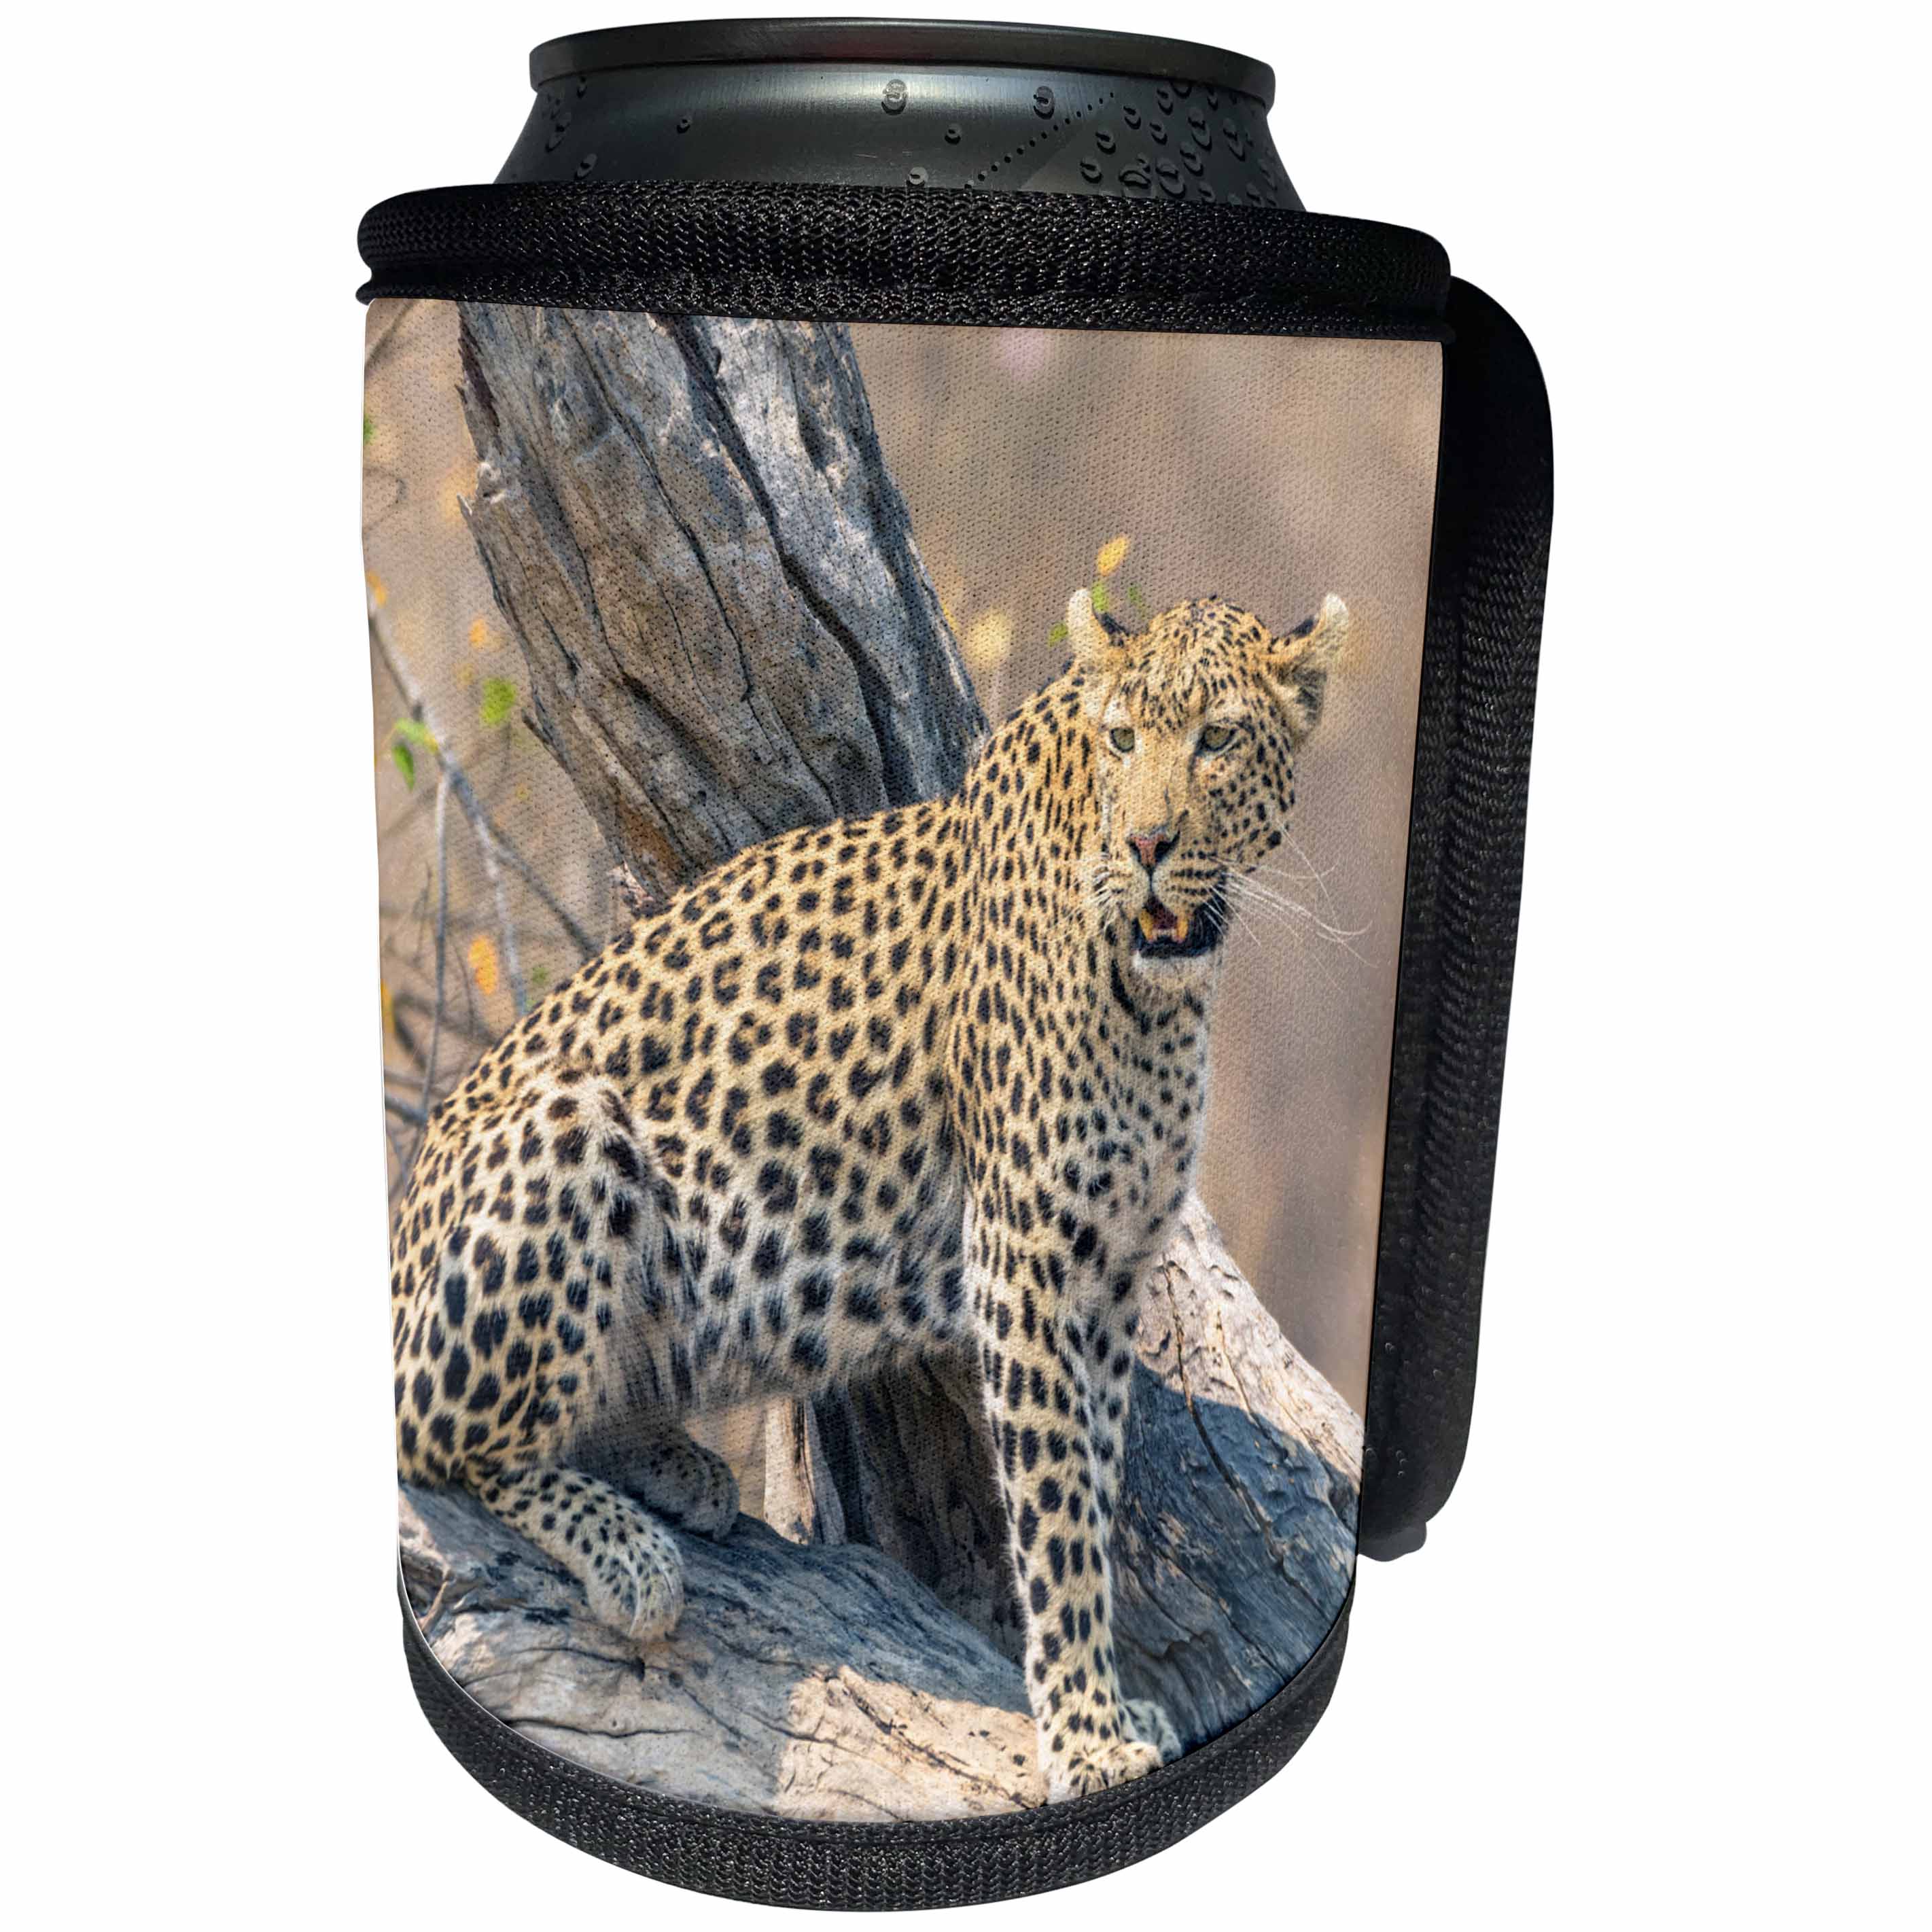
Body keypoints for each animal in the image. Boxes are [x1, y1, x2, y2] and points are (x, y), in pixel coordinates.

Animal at [391, 584, 1352, 1800]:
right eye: (1123, 739)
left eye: (1217, 738)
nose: (1147, 845)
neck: (1161, 995)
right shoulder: (1028, 1265)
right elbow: (1056, 1516)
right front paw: (1085, 1737)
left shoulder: (1108, 1273)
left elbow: (1093, 1483)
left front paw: (1107, 1704)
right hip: (570, 1130)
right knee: (441, 1437)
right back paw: (630, 1554)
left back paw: (670, 1466)